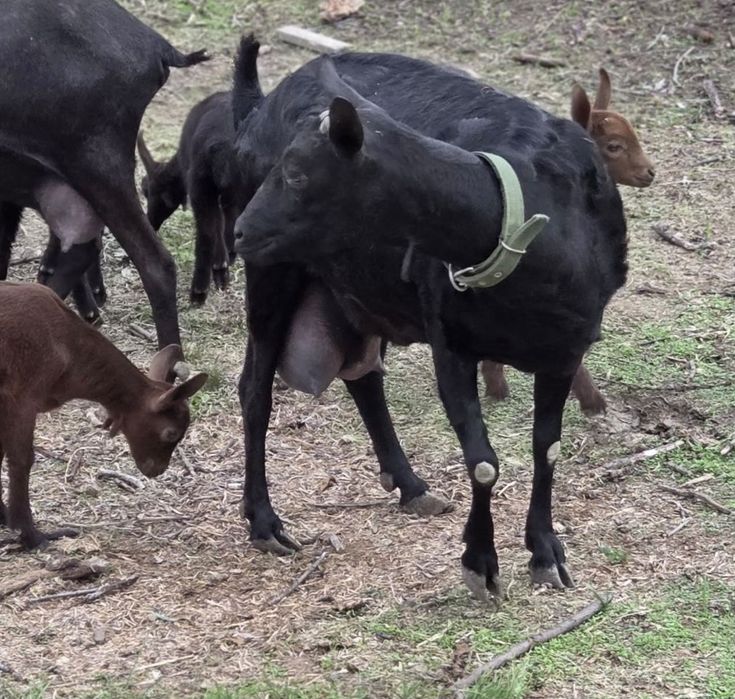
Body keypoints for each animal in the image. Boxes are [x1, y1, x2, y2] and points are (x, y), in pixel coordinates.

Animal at [232, 49, 627, 599]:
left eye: (296, 173)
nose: (241, 229)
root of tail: (260, 106)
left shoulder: (565, 351)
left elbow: (546, 449)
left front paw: (546, 553)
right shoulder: (451, 346)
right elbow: (482, 461)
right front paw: (480, 564)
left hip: (360, 289)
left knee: (363, 377)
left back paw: (410, 486)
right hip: (274, 272)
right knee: (255, 390)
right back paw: (264, 522)